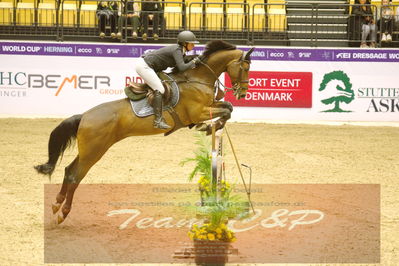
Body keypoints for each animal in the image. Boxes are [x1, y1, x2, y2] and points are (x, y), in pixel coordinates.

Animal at [34, 39, 253, 223]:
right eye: (245, 67)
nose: (242, 93)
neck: (196, 79)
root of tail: (85, 116)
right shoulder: (198, 111)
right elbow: (226, 110)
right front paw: (207, 127)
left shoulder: (210, 106)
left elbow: (227, 108)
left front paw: (210, 127)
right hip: (94, 151)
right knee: (75, 177)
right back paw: (63, 212)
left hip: (89, 150)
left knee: (69, 170)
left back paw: (56, 204)